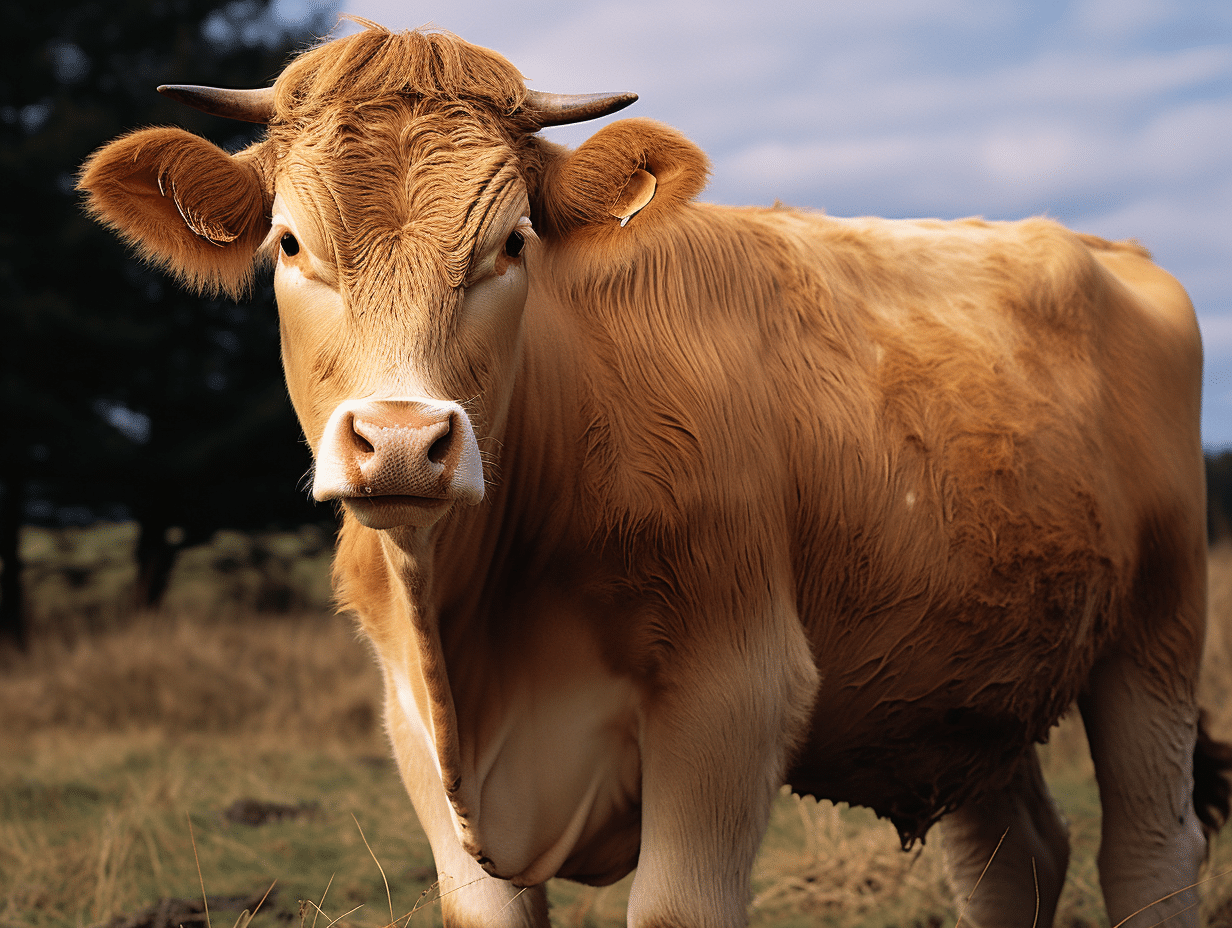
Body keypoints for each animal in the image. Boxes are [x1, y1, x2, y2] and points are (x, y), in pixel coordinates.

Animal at [79, 21, 1230, 928]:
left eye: (511, 243)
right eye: (288, 244)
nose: (403, 441)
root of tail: (1111, 250)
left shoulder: (733, 688)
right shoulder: (412, 723)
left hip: (1159, 633)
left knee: (1148, 850)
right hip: (959, 683)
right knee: (1010, 860)